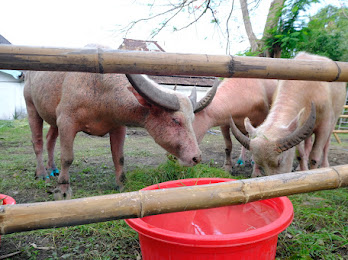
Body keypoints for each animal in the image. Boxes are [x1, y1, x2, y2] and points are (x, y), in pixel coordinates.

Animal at [25, 65, 218, 199]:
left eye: (192, 119)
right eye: (175, 120)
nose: (196, 157)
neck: (100, 90)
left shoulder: (118, 127)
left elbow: (119, 157)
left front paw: (122, 185)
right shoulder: (66, 121)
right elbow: (67, 158)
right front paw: (63, 190)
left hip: (52, 120)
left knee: (50, 139)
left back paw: (52, 169)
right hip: (32, 107)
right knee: (38, 142)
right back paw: (42, 173)